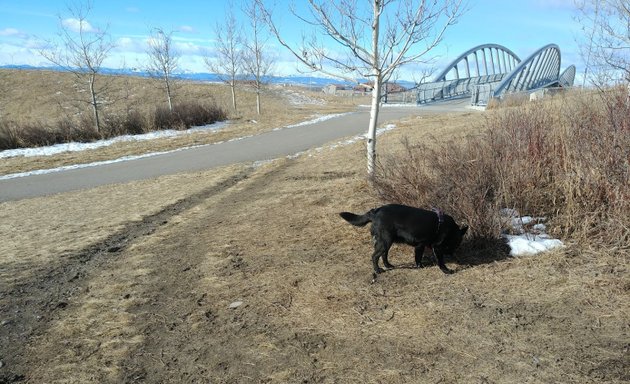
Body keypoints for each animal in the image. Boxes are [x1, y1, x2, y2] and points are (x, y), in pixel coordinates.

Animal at [340, 204, 470, 276]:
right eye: (455, 244)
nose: (452, 254)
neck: (447, 228)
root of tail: (375, 212)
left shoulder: (420, 246)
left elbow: (418, 258)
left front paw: (420, 267)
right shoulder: (437, 247)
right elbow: (440, 262)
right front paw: (447, 271)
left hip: (387, 242)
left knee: (384, 255)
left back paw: (388, 265)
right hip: (385, 241)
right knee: (374, 256)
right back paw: (378, 270)